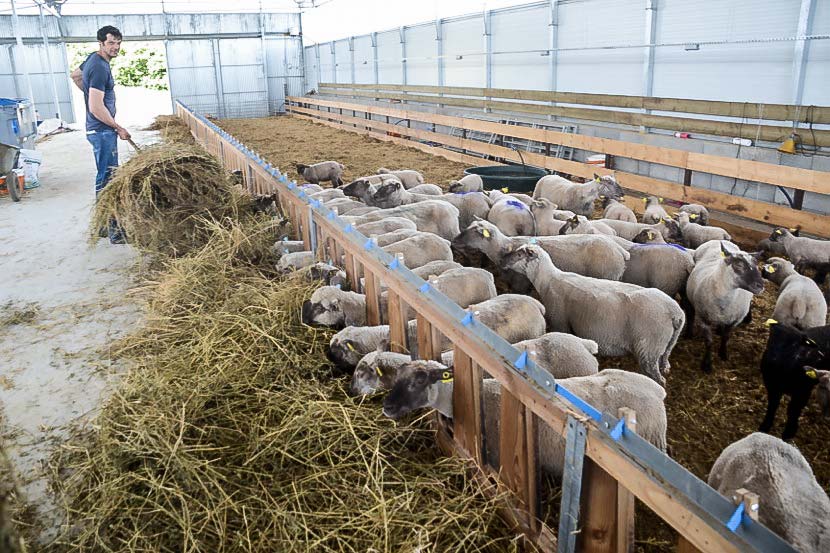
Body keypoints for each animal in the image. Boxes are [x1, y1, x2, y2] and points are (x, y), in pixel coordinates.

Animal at [504, 244, 684, 386]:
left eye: (519, 254)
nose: (502, 260)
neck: (548, 280)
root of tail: (675, 313)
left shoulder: (560, 321)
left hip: (648, 349)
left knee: (658, 379)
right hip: (665, 346)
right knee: (665, 359)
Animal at [684, 242, 764, 370]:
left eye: (757, 266)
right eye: (739, 265)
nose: (760, 286)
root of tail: (719, 240)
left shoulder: (734, 320)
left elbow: (726, 338)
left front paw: (723, 354)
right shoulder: (703, 319)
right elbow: (709, 342)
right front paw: (707, 364)